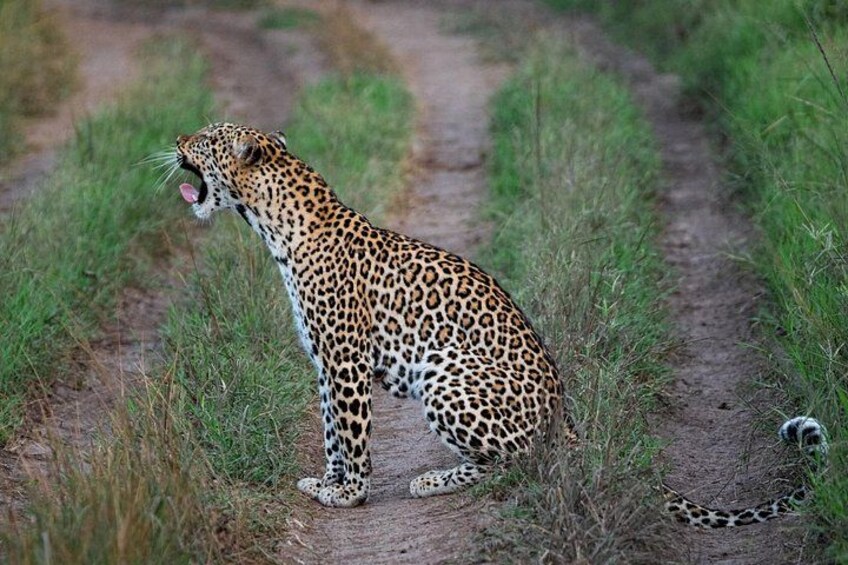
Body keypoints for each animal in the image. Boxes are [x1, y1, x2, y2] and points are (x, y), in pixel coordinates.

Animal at [172, 122, 827, 526]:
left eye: (205, 138)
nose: (175, 138)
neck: (271, 225)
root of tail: (566, 414)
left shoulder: (346, 362)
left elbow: (353, 435)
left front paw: (349, 495)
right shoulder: (324, 364)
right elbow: (333, 430)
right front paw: (326, 483)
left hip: (445, 379)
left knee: (519, 462)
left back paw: (433, 480)